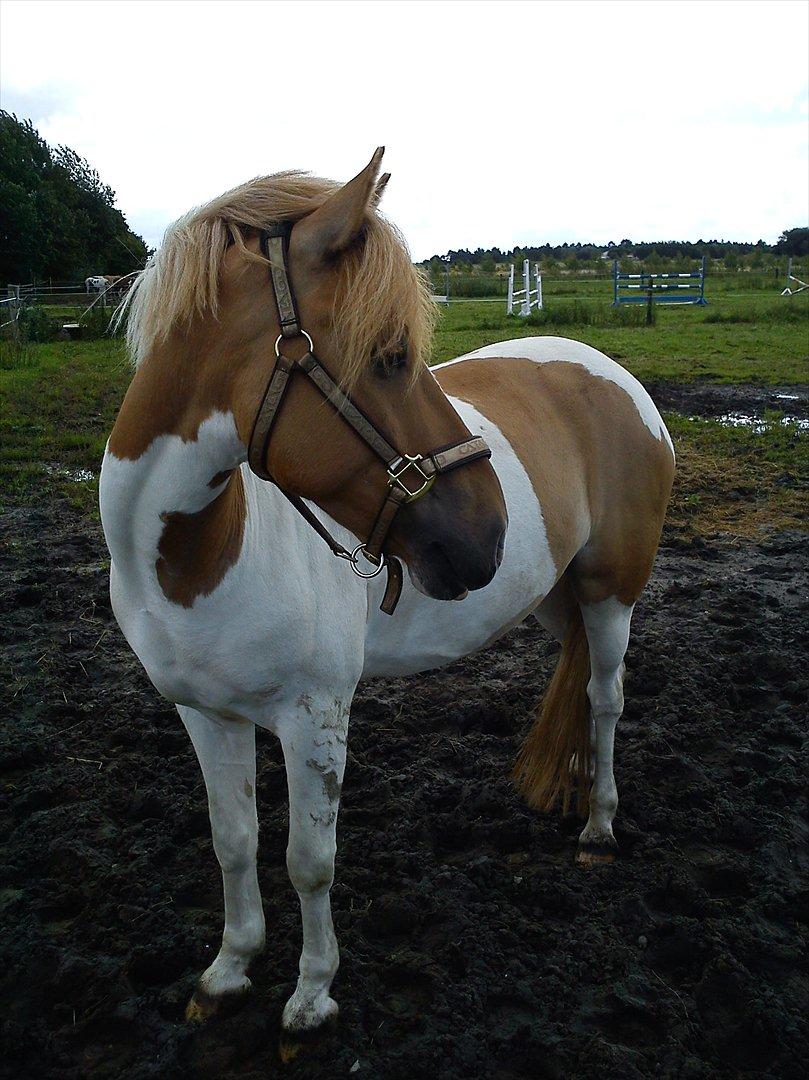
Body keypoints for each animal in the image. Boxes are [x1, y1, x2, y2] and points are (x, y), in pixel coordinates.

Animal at [97, 150, 673, 1036]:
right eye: (393, 355)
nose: (488, 534)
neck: (198, 559)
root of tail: (613, 375)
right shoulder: (204, 713)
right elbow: (233, 842)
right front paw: (228, 971)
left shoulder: (315, 716)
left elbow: (308, 860)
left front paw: (311, 994)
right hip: (556, 598)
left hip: (612, 593)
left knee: (605, 699)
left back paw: (599, 824)